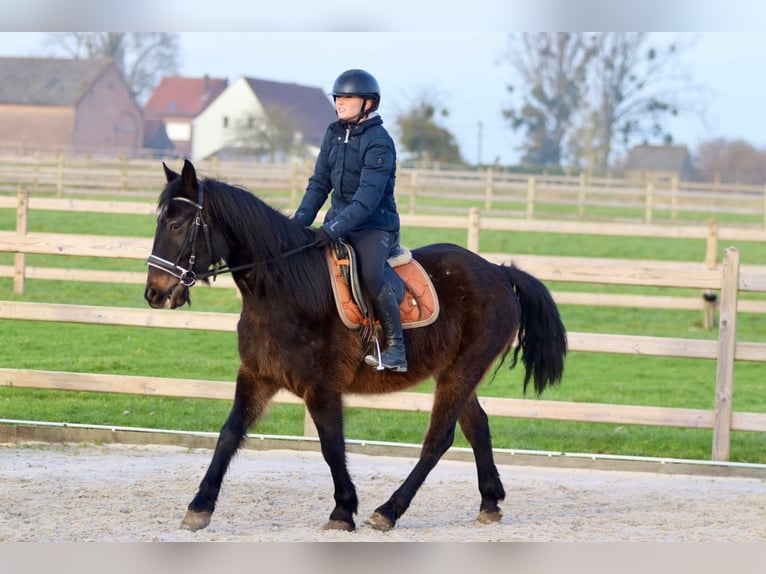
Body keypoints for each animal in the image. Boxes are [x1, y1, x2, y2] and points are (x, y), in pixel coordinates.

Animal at [144, 159, 568, 536]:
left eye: (177, 224)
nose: (155, 293)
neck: (286, 290)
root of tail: (499, 271)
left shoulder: (321, 388)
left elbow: (332, 446)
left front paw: (343, 510)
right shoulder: (257, 375)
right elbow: (229, 434)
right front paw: (199, 508)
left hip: (463, 371)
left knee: (438, 439)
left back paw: (389, 511)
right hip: (457, 372)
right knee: (476, 427)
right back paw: (489, 502)